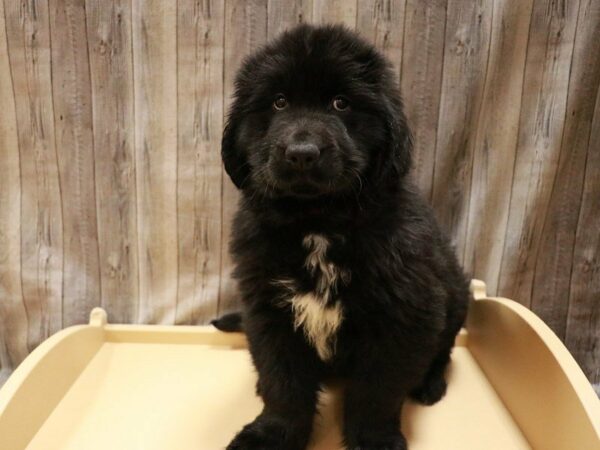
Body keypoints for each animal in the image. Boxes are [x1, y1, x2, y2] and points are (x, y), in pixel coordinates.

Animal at [213, 23, 472, 450]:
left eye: (341, 103)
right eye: (279, 103)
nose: (302, 152)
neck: (318, 222)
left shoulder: (404, 317)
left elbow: (377, 392)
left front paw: (374, 439)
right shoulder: (270, 313)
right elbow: (283, 384)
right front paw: (271, 434)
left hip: (457, 293)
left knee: (444, 349)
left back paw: (430, 384)